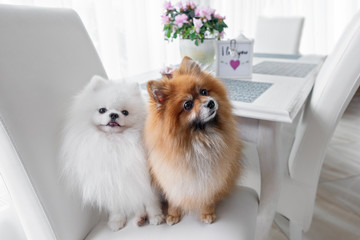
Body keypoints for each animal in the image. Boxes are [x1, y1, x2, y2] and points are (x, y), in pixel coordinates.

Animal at [60, 75, 163, 231]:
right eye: (102, 110)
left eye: (125, 112)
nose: (114, 114)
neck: (115, 142)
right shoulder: (109, 179)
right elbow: (116, 205)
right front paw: (116, 220)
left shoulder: (144, 177)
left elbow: (150, 200)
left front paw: (156, 216)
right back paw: (139, 217)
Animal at [145, 56, 243, 225]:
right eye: (187, 105)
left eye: (204, 91)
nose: (210, 102)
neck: (199, 139)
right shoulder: (173, 178)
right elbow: (174, 197)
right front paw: (173, 214)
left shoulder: (212, 176)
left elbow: (208, 196)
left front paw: (207, 212)